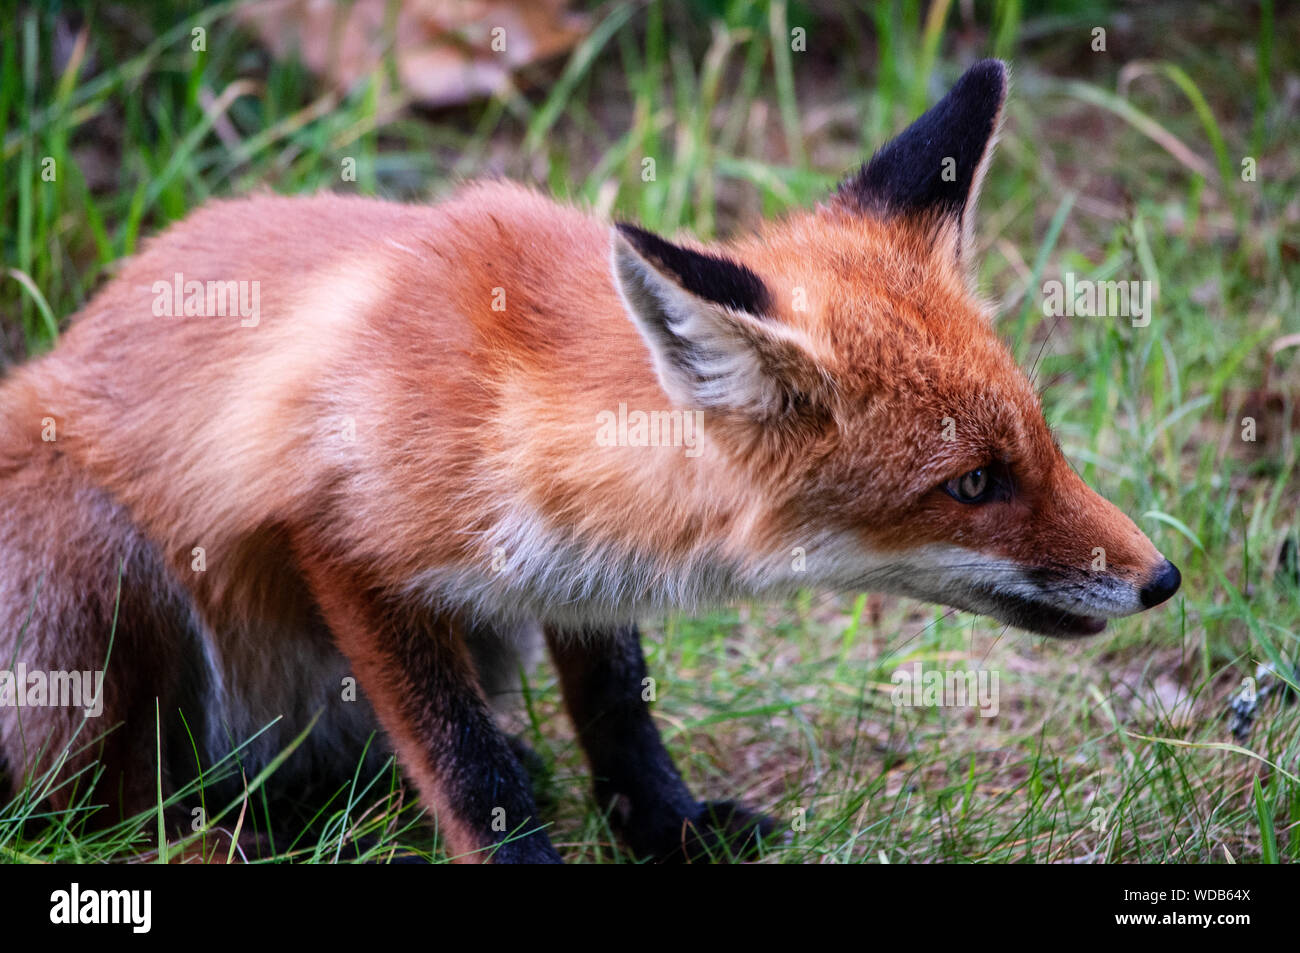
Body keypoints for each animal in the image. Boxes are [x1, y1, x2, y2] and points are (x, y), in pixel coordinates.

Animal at [0, 59, 1180, 863]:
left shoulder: (576, 569)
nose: (1162, 577)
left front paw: (670, 827)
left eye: (1041, 439)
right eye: (972, 484)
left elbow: (618, 712)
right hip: (95, 568)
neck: (515, 395)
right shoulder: (343, 536)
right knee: (98, 813)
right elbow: (467, 766)